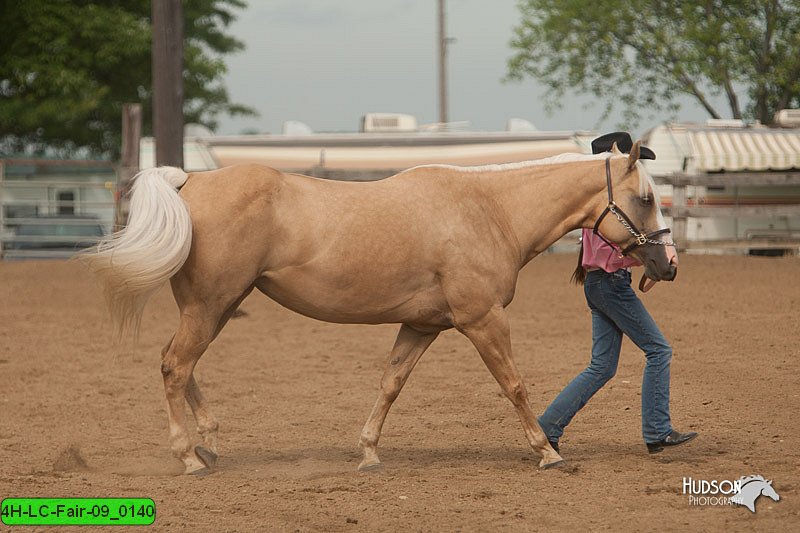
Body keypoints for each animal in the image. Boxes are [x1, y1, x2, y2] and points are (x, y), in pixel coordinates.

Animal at [86, 140, 676, 474]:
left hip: (216, 306)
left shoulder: (420, 326)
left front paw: (369, 452)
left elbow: (391, 383)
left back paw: (208, 444)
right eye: (646, 198)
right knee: (175, 365)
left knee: (180, 365)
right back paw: (188, 456)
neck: (488, 209)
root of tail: (191, 180)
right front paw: (547, 452)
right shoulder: (483, 320)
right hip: (212, 306)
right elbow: (514, 384)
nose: (667, 265)